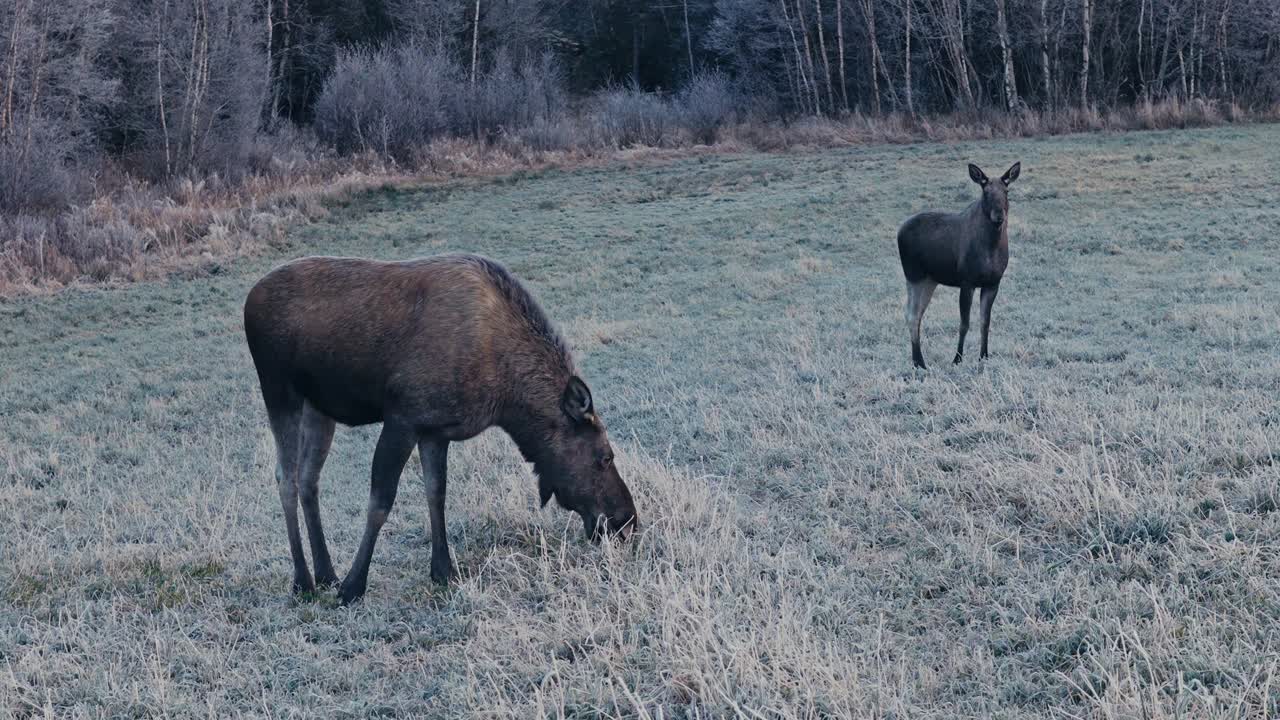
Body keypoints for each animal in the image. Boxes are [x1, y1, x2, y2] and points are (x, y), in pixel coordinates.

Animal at [243, 253, 638, 604]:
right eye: (604, 456)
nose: (626, 520)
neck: (505, 396)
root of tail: (249, 299)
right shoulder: (402, 418)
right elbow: (381, 502)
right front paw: (355, 586)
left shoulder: (435, 429)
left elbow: (437, 493)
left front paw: (443, 570)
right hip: (279, 391)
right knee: (286, 477)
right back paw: (303, 581)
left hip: (319, 407)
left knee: (309, 479)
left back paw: (326, 572)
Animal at [896, 161, 1021, 370]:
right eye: (985, 191)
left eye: (1006, 190)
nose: (999, 215)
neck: (992, 246)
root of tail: (899, 232)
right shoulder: (967, 282)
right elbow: (964, 324)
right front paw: (957, 358)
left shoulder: (992, 283)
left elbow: (985, 322)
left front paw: (984, 356)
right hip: (914, 276)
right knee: (911, 315)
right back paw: (919, 363)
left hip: (930, 280)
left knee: (916, 314)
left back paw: (917, 361)